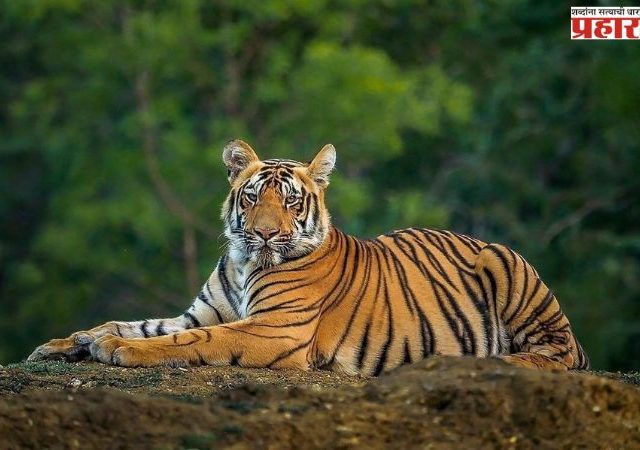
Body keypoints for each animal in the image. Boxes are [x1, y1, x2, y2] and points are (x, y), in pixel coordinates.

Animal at [28, 139, 589, 374]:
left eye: (292, 201)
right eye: (253, 197)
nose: (264, 234)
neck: (243, 262)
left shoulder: (274, 328)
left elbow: (188, 340)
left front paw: (116, 350)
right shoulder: (202, 311)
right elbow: (137, 323)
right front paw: (69, 342)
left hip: (509, 269)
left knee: (558, 355)